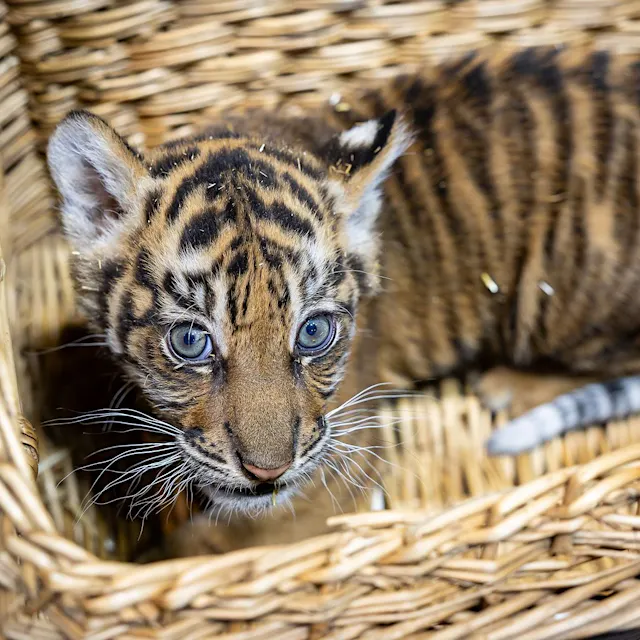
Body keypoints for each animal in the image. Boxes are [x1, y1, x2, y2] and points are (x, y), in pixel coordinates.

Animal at [46, 46, 640, 555]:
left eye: (314, 332)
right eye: (191, 341)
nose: (267, 472)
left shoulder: (334, 468)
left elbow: (217, 539)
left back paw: (509, 385)